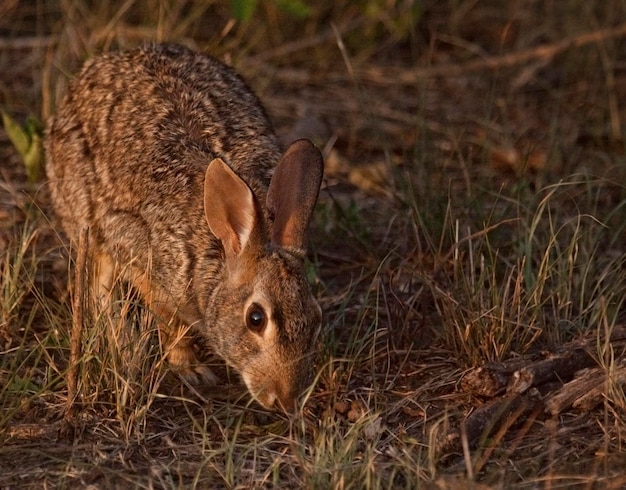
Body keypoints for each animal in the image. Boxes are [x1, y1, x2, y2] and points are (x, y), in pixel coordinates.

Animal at [45, 44, 322, 414]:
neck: (220, 249)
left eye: (315, 318)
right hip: (86, 215)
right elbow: (171, 322)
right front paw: (190, 368)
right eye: (256, 319)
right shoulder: (142, 256)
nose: (286, 401)